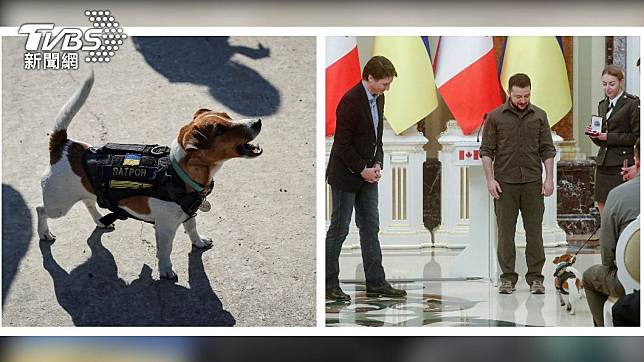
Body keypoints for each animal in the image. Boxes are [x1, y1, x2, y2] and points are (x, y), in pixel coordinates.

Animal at [34, 70, 262, 280]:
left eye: (228, 116)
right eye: (220, 130)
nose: (258, 122)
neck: (177, 174)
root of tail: (64, 145)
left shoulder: (189, 215)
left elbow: (192, 229)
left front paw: (198, 242)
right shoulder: (165, 229)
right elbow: (165, 251)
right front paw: (166, 270)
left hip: (84, 192)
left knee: (89, 202)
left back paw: (100, 220)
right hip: (58, 205)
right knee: (40, 209)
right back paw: (44, 233)